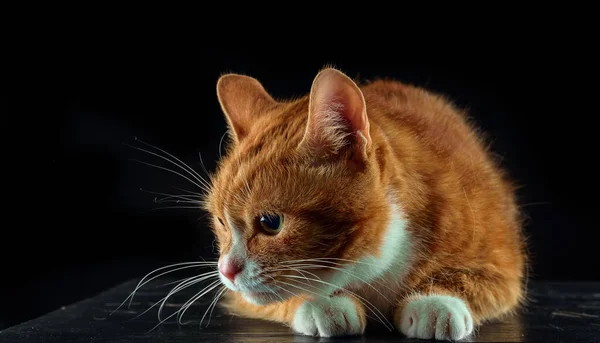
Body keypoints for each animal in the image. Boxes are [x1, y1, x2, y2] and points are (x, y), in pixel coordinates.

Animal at [204, 67, 528, 342]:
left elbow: (471, 280)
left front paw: (435, 302)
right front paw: (324, 303)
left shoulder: (504, 267)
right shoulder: (242, 297)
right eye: (221, 222)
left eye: (271, 223)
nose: (226, 270)